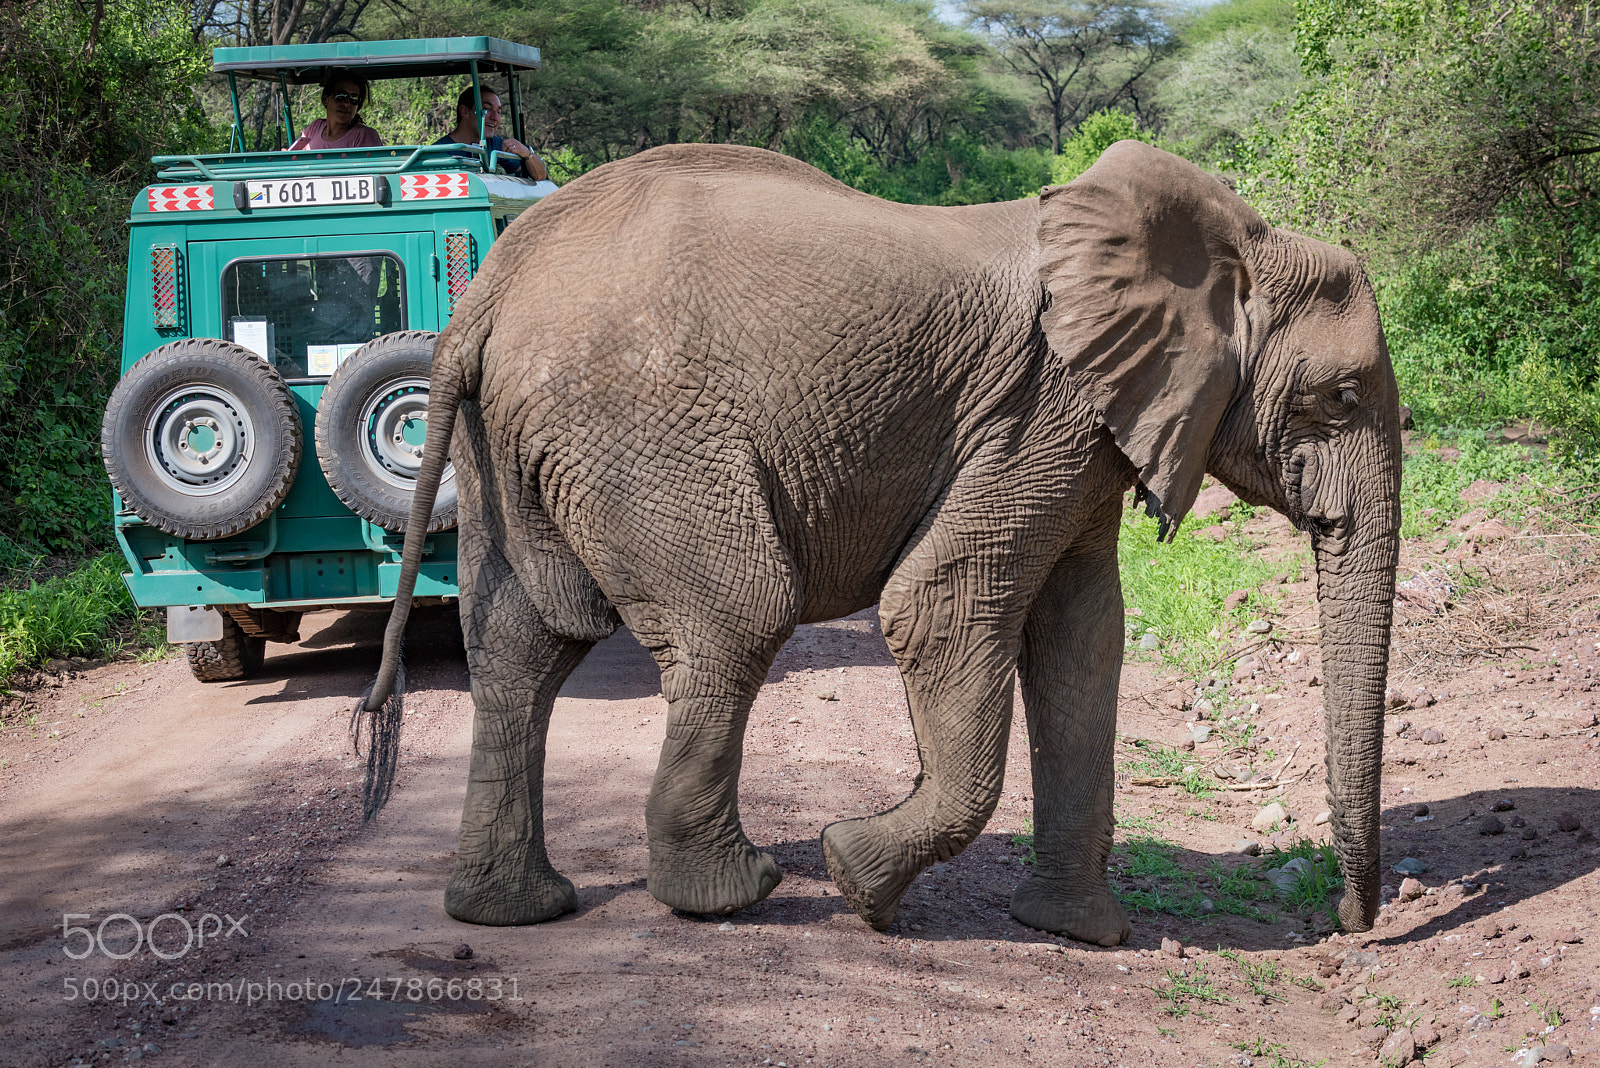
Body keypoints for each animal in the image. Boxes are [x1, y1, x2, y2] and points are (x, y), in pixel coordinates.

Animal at [366, 139, 1401, 940]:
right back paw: (732, 895)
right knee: (736, 618)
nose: (1348, 925)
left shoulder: (1085, 431)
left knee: (522, 646)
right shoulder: (1043, 412)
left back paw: (514, 911)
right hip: (636, 431)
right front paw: (854, 875)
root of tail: (487, 294)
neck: (1235, 246)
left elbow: (1084, 638)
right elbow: (942, 603)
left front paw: (1080, 934)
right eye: (1341, 397)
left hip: (511, 447)